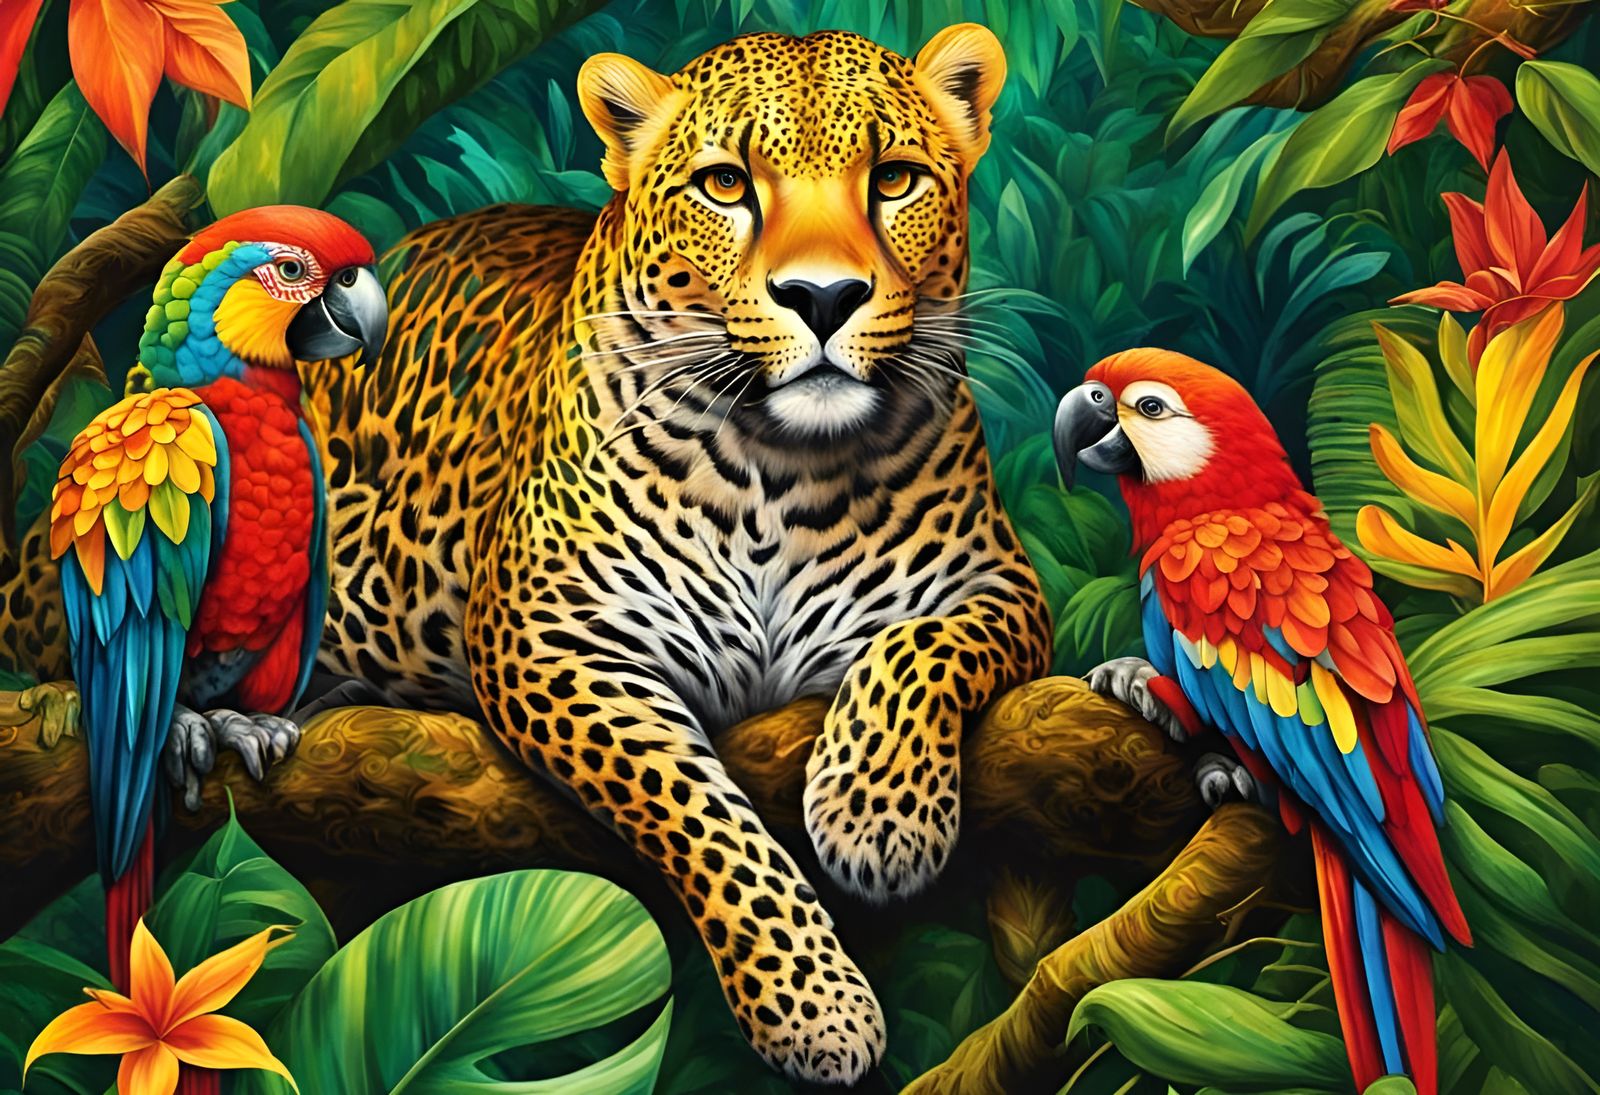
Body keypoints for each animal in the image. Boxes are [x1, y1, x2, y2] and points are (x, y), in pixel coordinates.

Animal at [2, 25, 1051, 1084]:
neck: (779, 474)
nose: (824, 297)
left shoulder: (1000, 586)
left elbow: (920, 651)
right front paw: (817, 1006)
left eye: (896, 179)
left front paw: (879, 812)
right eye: (725, 184)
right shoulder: (552, 640)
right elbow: (703, 817)